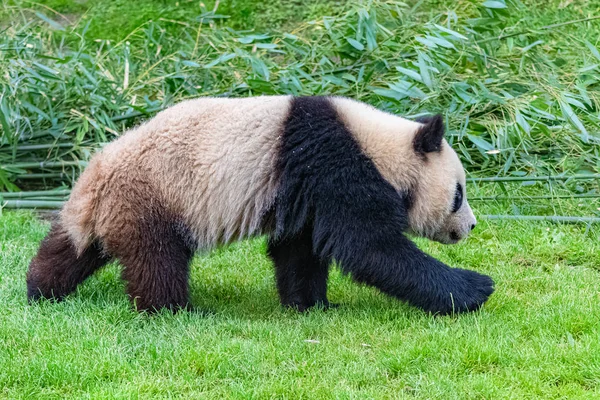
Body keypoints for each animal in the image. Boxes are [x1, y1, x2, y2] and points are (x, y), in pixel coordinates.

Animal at [25, 95, 494, 314]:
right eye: (459, 193)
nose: (470, 227)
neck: (379, 148)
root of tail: (96, 176)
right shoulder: (336, 165)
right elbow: (370, 248)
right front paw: (475, 288)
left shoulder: (306, 188)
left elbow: (300, 248)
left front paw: (310, 304)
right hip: (153, 197)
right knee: (157, 261)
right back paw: (178, 311)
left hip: (108, 210)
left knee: (73, 248)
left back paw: (40, 290)